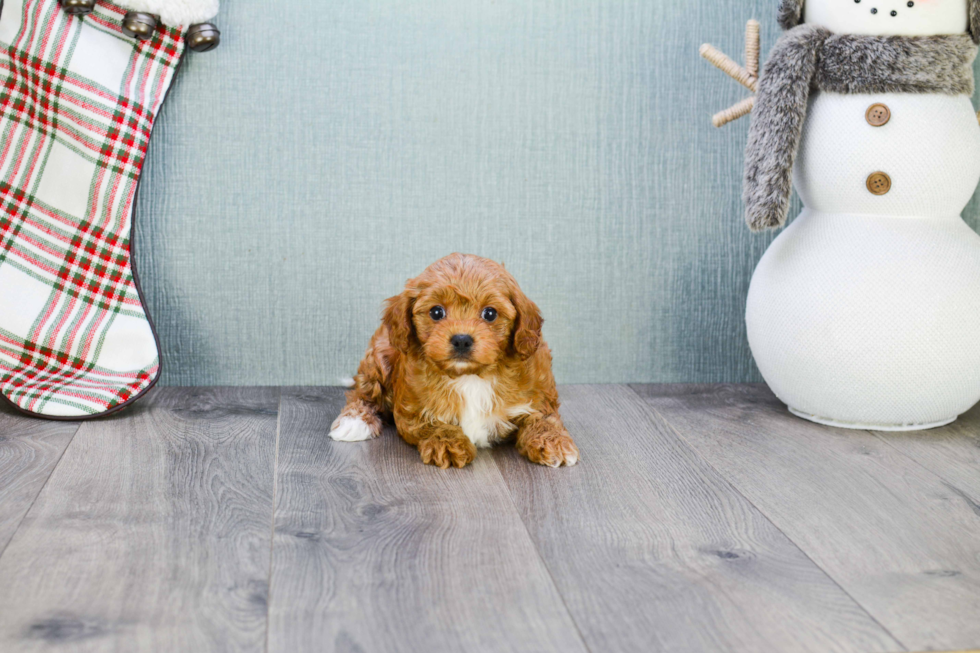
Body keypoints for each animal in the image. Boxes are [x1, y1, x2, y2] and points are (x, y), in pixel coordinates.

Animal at [330, 251, 580, 468]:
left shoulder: (539, 394)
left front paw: (554, 443)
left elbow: (544, 418)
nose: (461, 340)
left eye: (490, 313)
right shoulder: (411, 409)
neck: (470, 375)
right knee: (363, 393)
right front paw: (449, 444)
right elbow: (432, 423)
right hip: (379, 356)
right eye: (436, 312)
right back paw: (354, 421)